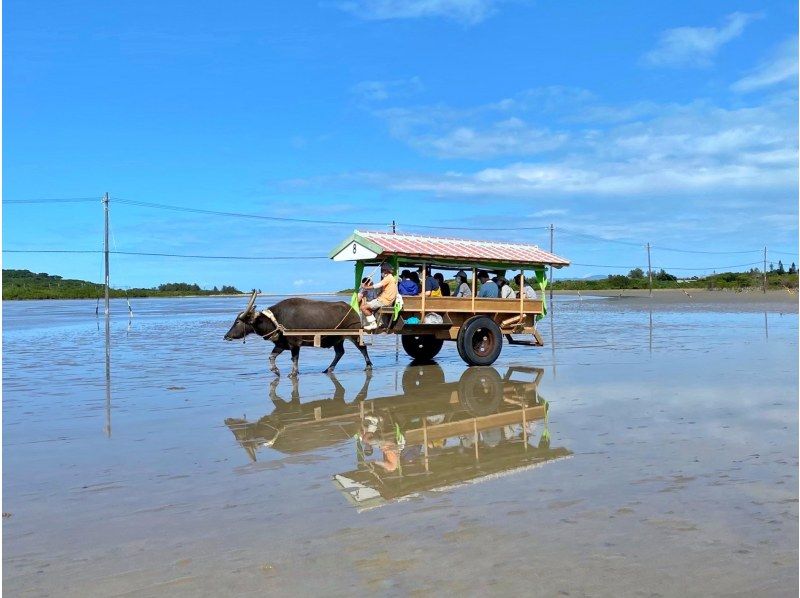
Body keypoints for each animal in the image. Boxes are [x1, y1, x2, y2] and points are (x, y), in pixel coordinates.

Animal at [222, 292, 372, 380]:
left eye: (237, 322)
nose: (226, 336)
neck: (276, 320)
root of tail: (352, 310)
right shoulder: (281, 345)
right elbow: (271, 357)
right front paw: (276, 371)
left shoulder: (295, 344)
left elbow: (294, 359)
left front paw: (293, 373)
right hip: (337, 339)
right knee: (340, 352)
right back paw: (328, 369)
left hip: (354, 335)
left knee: (362, 348)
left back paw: (368, 366)